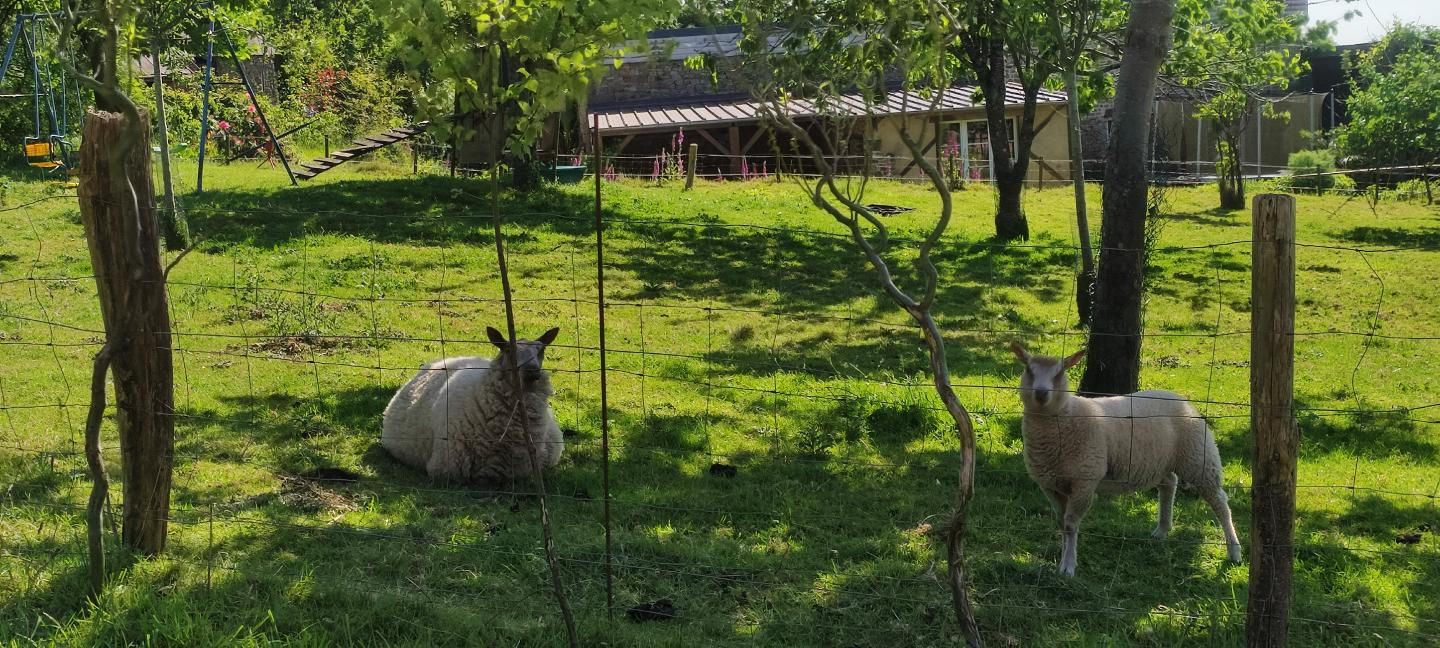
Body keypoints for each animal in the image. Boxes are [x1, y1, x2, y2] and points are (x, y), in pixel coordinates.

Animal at [1008, 344, 1244, 576]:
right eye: (1028, 370)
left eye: (1059, 373)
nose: (1041, 393)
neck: (1065, 416)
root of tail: (1180, 398)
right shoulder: (1050, 485)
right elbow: (1061, 523)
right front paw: (1063, 556)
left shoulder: (1085, 482)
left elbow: (1070, 525)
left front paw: (1068, 566)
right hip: (1159, 461)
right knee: (1169, 484)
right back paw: (1162, 530)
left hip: (1199, 458)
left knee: (1220, 502)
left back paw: (1234, 551)